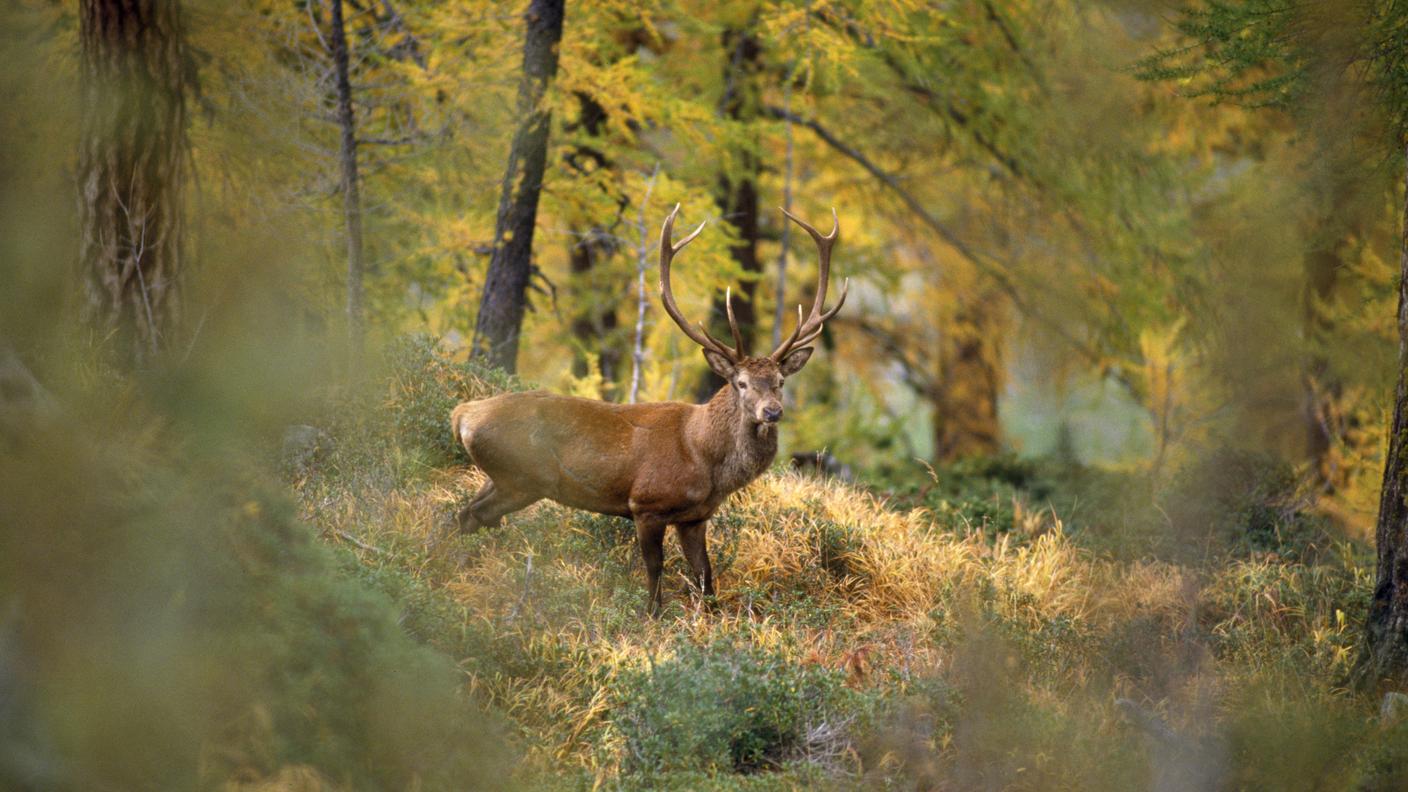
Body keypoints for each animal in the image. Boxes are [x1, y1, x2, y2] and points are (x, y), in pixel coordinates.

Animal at [447, 204, 847, 613]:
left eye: (780, 381)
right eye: (741, 383)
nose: (772, 412)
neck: (704, 457)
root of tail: (462, 415)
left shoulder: (695, 518)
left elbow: (706, 578)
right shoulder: (646, 503)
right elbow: (656, 571)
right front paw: (651, 615)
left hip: (499, 475)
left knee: (463, 513)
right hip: (524, 476)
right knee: (474, 514)